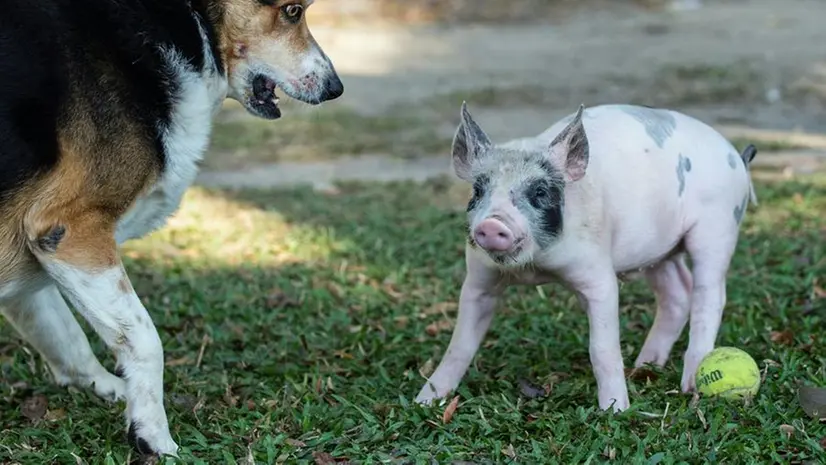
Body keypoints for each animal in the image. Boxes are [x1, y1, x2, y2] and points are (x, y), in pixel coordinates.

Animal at [0, 0, 342, 456]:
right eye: (292, 11)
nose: (335, 88)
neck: (178, 19)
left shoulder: (39, 254)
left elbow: (67, 339)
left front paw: (114, 392)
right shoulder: (70, 231)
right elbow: (145, 340)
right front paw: (154, 437)